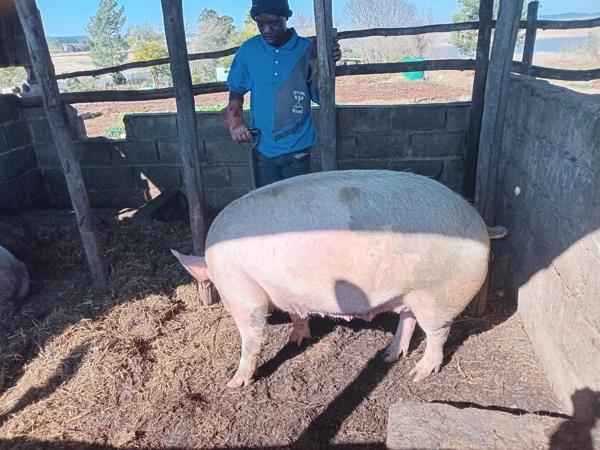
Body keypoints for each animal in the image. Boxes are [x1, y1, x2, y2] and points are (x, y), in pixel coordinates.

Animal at [172, 170, 505, 388]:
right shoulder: (292, 292)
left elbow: (251, 336)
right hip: (410, 293)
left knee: (438, 334)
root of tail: (480, 224)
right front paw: (297, 340)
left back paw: (418, 374)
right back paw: (388, 356)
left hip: (436, 294)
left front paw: (234, 384)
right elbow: (298, 315)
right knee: (408, 320)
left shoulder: (242, 292)